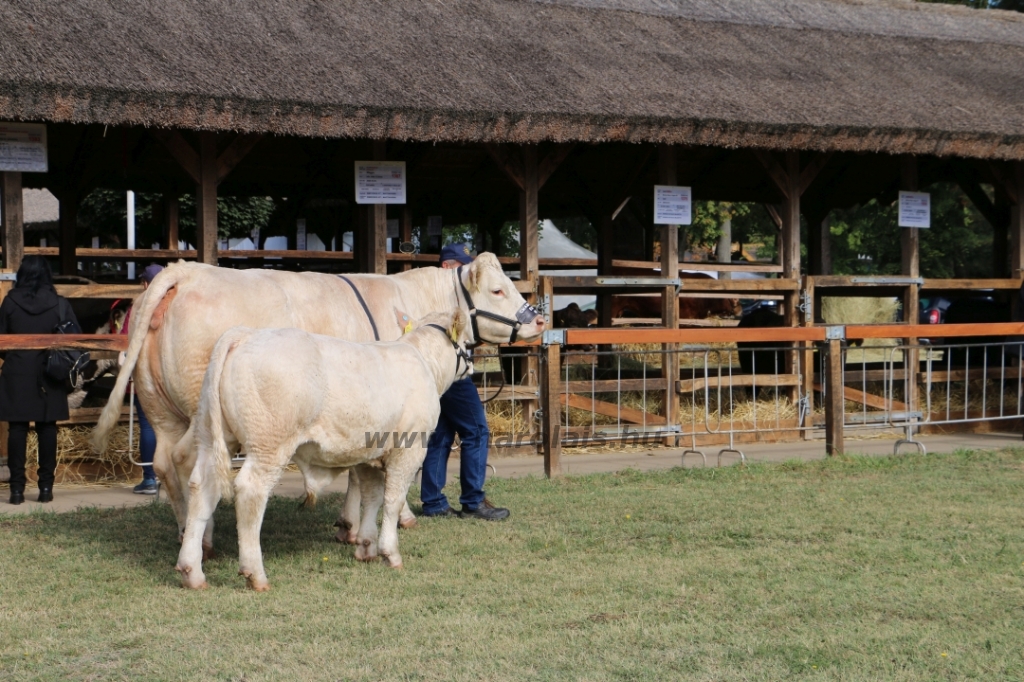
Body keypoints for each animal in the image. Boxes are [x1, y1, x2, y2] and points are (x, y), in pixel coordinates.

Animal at [90, 251, 544, 548]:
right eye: (498, 290)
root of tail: (185, 273)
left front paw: (351, 525)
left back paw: (189, 532)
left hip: (159, 409)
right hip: (199, 417)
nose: (539, 320)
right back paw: (202, 538)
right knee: (191, 466)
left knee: (166, 463)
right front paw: (384, 521)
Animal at [177, 311, 471, 585]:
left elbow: (372, 498)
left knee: (202, 487)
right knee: (250, 491)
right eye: (468, 343)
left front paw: (366, 547)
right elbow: (392, 501)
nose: (471, 366)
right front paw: (390, 553)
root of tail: (245, 334)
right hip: (269, 445)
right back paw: (255, 574)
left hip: (212, 437)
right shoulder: (409, 448)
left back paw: (192, 571)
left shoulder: (369, 454)